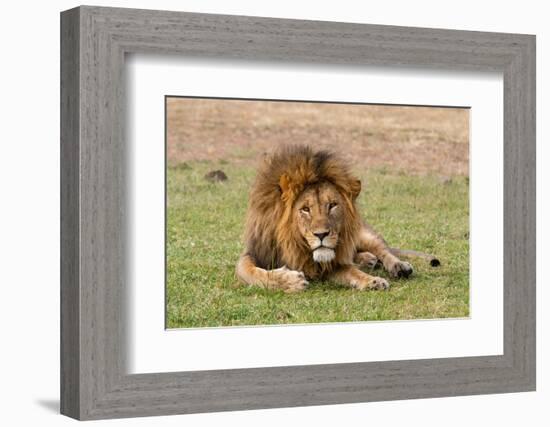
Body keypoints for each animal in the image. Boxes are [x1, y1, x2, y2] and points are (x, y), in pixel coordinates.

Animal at [236, 145, 418, 292]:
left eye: (332, 205)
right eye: (305, 209)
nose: (321, 234)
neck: (293, 245)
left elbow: (352, 271)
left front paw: (373, 281)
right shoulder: (255, 252)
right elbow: (248, 271)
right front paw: (290, 281)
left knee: (382, 249)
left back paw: (399, 266)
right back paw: (367, 260)